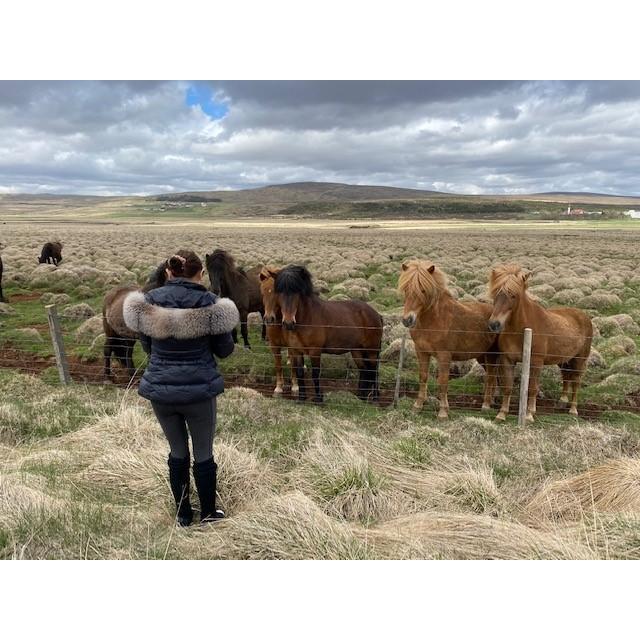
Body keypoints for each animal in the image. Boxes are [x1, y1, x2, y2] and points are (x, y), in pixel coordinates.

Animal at [259, 266, 299, 396]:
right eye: (262, 293)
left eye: (277, 293)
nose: (268, 318)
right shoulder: (274, 345)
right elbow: (278, 366)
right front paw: (279, 388)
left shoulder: (292, 346)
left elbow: (294, 366)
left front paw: (295, 386)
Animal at [274, 265, 383, 404]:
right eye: (280, 292)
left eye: (296, 292)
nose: (288, 323)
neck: (307, 317)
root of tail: (376, 314)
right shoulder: (296, 350)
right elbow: (300, 374)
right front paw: (302, 398)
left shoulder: (315, 351)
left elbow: (315, 374)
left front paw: (318, 398)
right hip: (357, 351)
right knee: (364, 370)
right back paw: (361, 396)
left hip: (372, 351)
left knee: (373, 371)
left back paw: (374, 398)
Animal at [398, 259, 499, 419]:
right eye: (406, 289)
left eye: (423, 290)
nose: (407, 320)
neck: (434, 321)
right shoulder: (421, 352)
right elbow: (423, 377)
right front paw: (417, 406)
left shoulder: (444, 356)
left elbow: (443, 381)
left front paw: (443, 412)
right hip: (482, 356)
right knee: (493, 377)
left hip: (492, 355)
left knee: (491, 377)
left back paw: (486, 405)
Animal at [487, 263, 593, 422]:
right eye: (495, 294)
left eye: (513, 295)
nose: (494, 324)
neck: (523, 329)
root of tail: (584, 316)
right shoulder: (507, 360)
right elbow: (508, 387)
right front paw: (502, 413)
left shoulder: (536, 362)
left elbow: (532, 388)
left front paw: (529, 414)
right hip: (564, 360)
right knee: (566, 377)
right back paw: (562, 402)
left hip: (579, 360)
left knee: (576, 382)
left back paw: (573, 409)